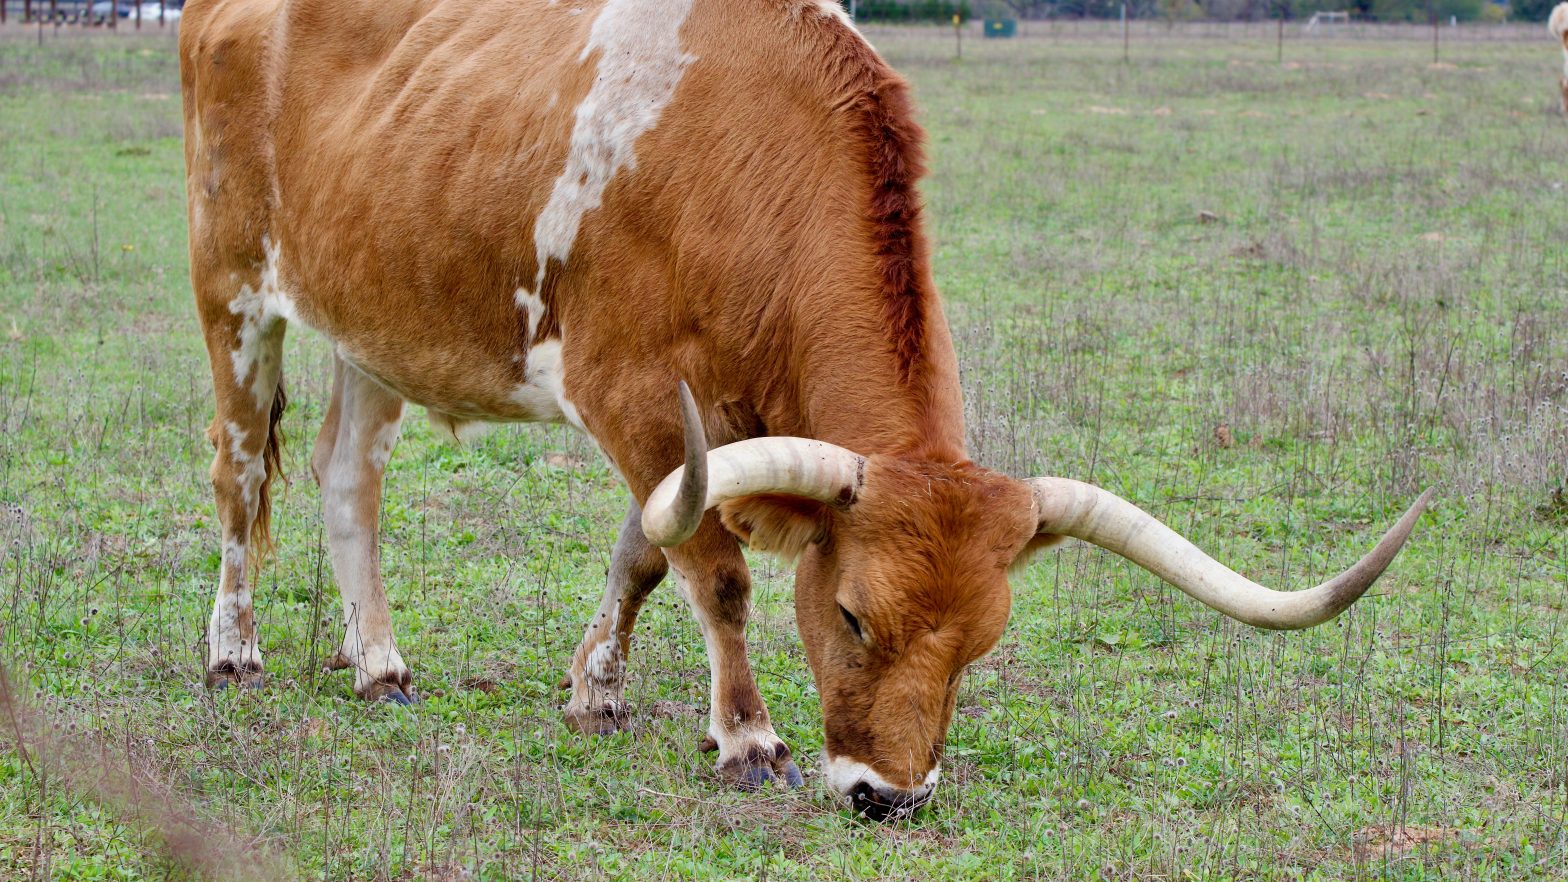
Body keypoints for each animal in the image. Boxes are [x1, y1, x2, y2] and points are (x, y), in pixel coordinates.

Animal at [179, 0, 1430, 820]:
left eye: (981, 644)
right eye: (851, 617)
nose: (889, 797)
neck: (744, 156)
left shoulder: (697, 433)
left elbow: (650, 550)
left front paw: (597, 690)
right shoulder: (636, 396)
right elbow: (717, 575)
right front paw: (745, 738)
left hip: (375, 321)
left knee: (348, 480)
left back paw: (379, 663)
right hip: (233, 292)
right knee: (239, 476)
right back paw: (233, 650)